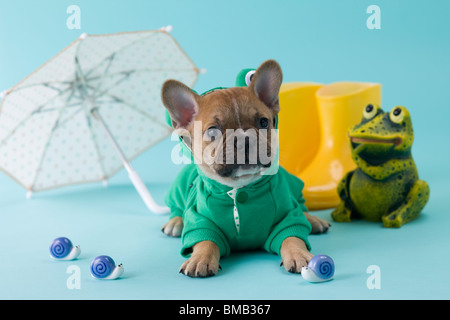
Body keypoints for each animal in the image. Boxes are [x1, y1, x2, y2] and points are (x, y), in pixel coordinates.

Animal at [160, 60, 328, 278]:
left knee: (300, 207)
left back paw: (313, 220)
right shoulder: (200, 220)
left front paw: (300, 255)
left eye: (263, 122)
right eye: (212, 131)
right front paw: (199, 258)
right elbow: (205, 240)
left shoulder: (288, 217)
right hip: (179, 189)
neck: (240, 187)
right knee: (177, 209)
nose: (244, 138)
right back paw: (175, 222)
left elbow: (292, 236)